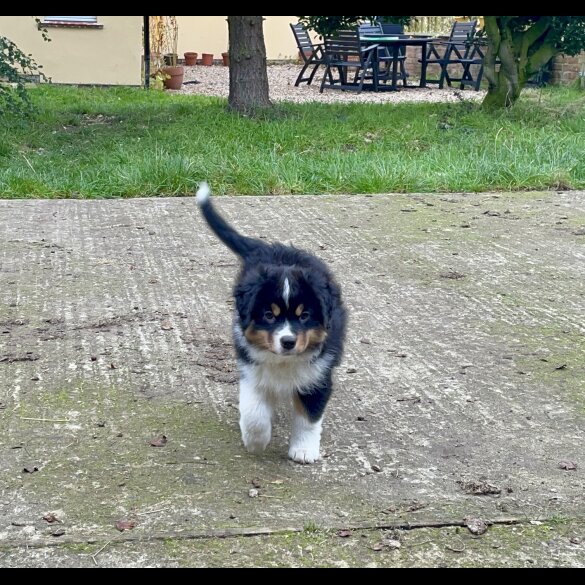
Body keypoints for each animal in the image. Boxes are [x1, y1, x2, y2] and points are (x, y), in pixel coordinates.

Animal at [196, 185, 344, 464]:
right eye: (269, 315)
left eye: (304, 316)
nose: (288, 342)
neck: (284, 362)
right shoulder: (252, 370)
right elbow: (253, 412)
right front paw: (255, 442)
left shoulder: (318, 376)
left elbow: (309, 418)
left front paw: (304, 450)